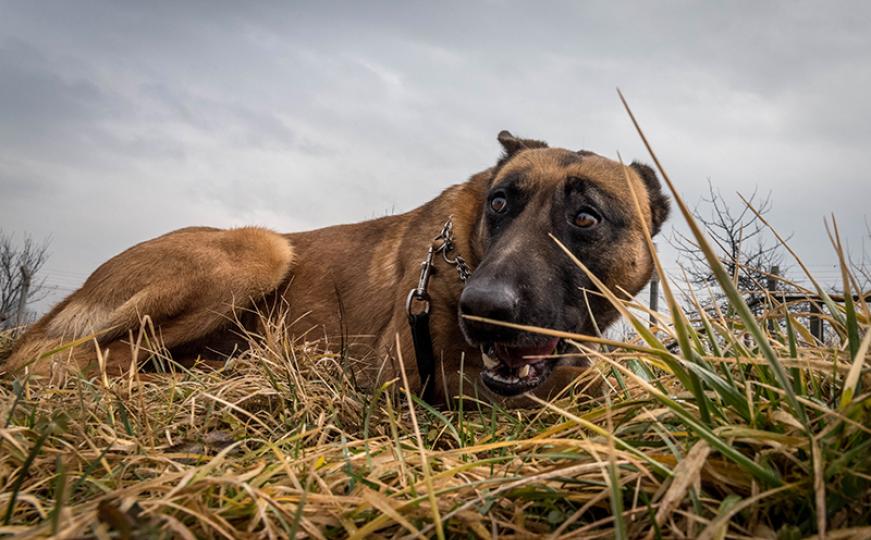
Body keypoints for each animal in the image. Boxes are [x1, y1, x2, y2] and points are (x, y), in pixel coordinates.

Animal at [3, 132, 672, 404]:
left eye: (585, 218)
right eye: (501, 203)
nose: (481, 308)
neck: (466, 257)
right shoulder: (406, 376)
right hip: (261, 249)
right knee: (80, 359)